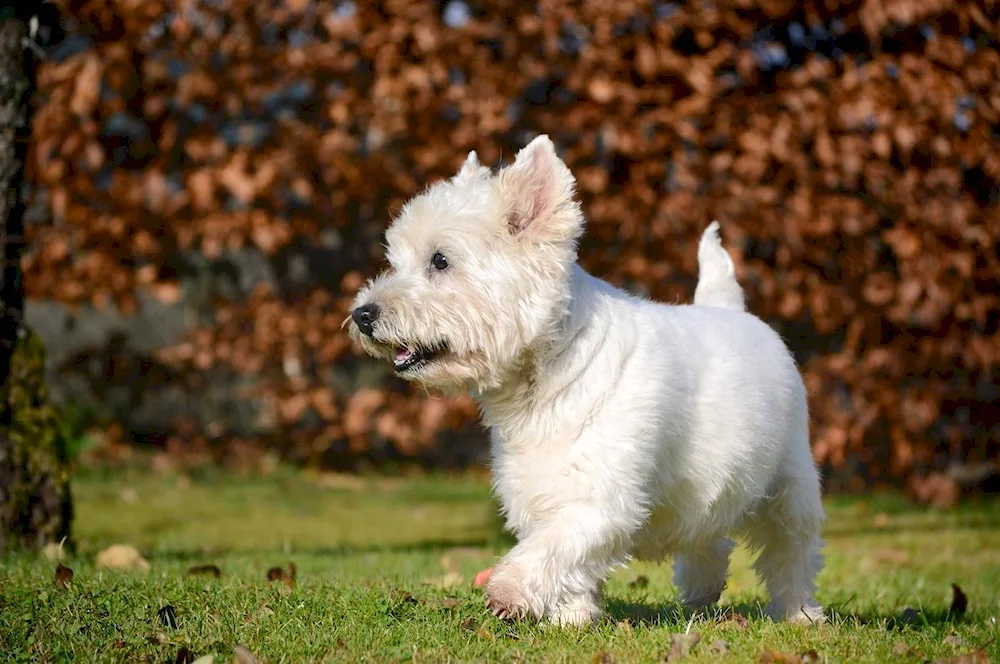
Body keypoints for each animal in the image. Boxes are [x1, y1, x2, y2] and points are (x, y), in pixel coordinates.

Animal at [348, 136, 824, 628]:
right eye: (395, 261)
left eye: (440, 261)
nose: (362, 314)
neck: (542, 378)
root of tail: (734, 311)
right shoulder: (537, 491)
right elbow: (566, 560)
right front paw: (573, 618)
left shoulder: (602, 497)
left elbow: (551, 547)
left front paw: (508, 591)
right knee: (708, 536)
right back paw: (700, 592)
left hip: (790, 483)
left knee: (792, 551)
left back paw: (800, 613)